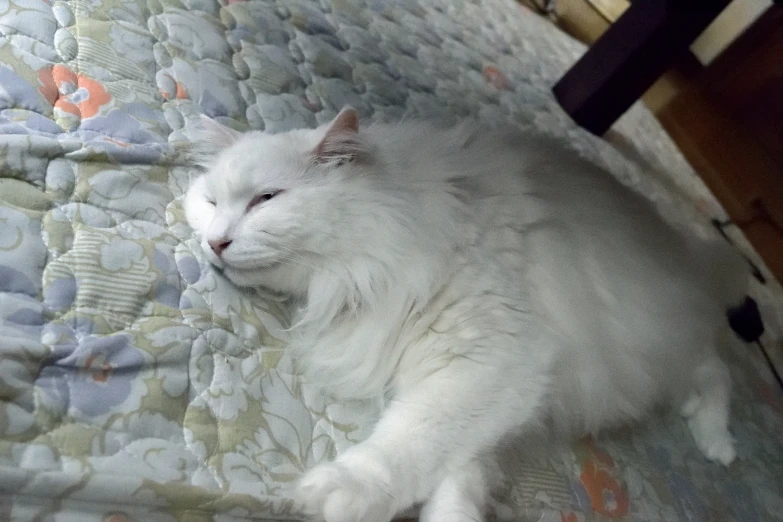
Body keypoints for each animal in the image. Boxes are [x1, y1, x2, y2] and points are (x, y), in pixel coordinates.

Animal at [184, 107, 748, 520]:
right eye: (210, 202)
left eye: (265, 199)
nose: (216, 243)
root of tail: (682, 247)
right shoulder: (492, 395)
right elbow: (458, 474)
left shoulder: (490, 360)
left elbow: (407, 442)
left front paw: (340, 492)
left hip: (660, 340)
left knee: (716, 367)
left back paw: (718, 442)